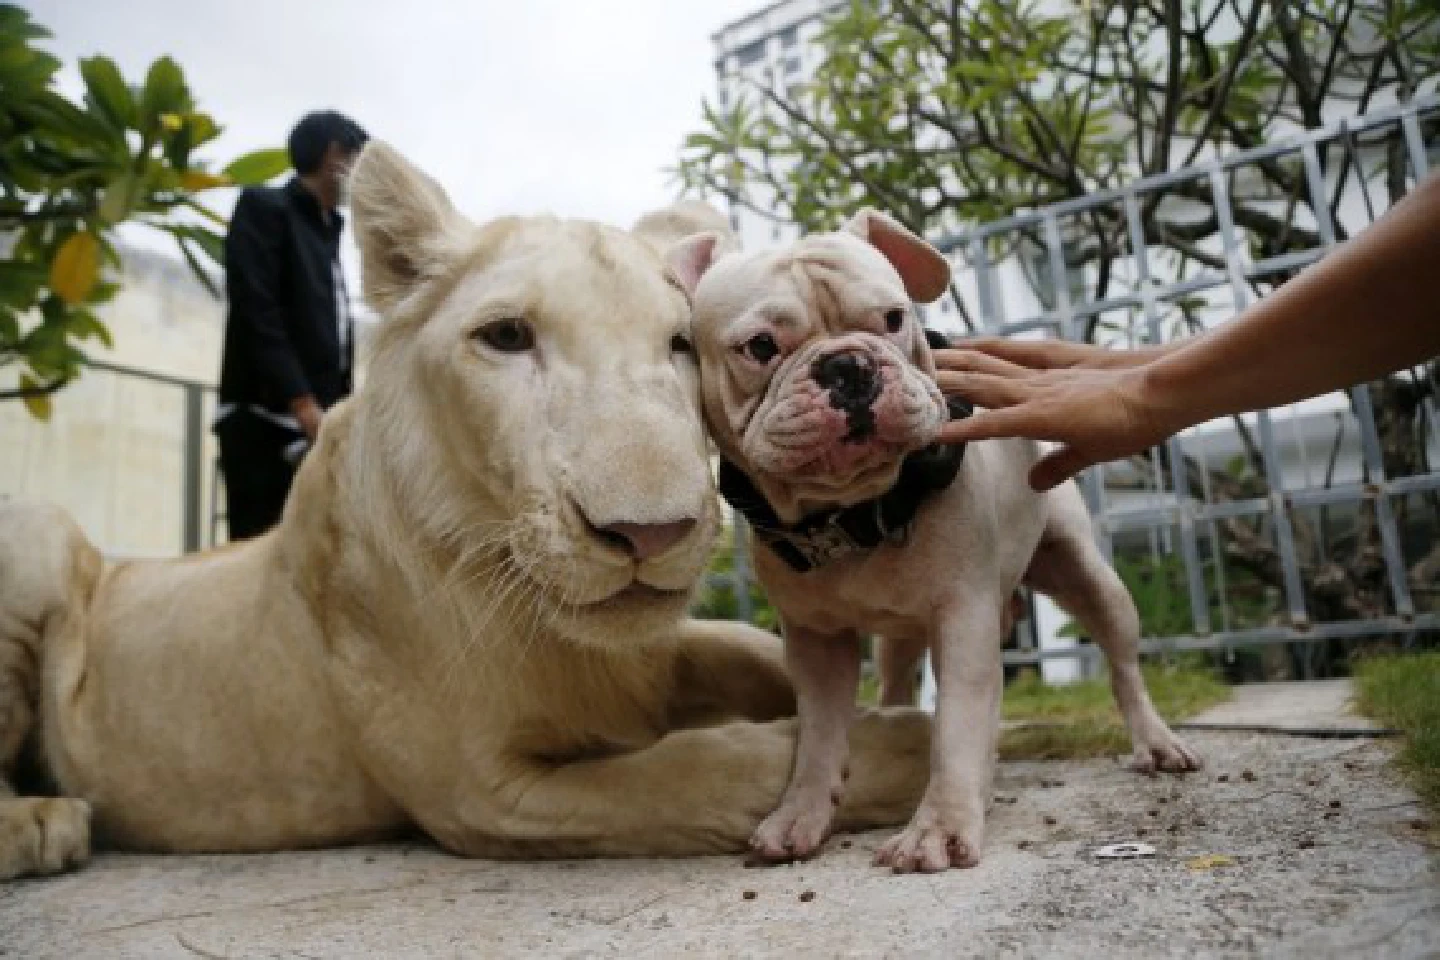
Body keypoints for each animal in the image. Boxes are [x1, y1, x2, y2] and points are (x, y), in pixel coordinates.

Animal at [0, 142, 930, 879]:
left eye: (678, 344)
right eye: (507, 337)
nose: (649, 534)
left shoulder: (645, 658)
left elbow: (754, 650)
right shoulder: (481, 793)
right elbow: (719, 768)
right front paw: (907, 740)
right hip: (38, 528)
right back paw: (42, 823)